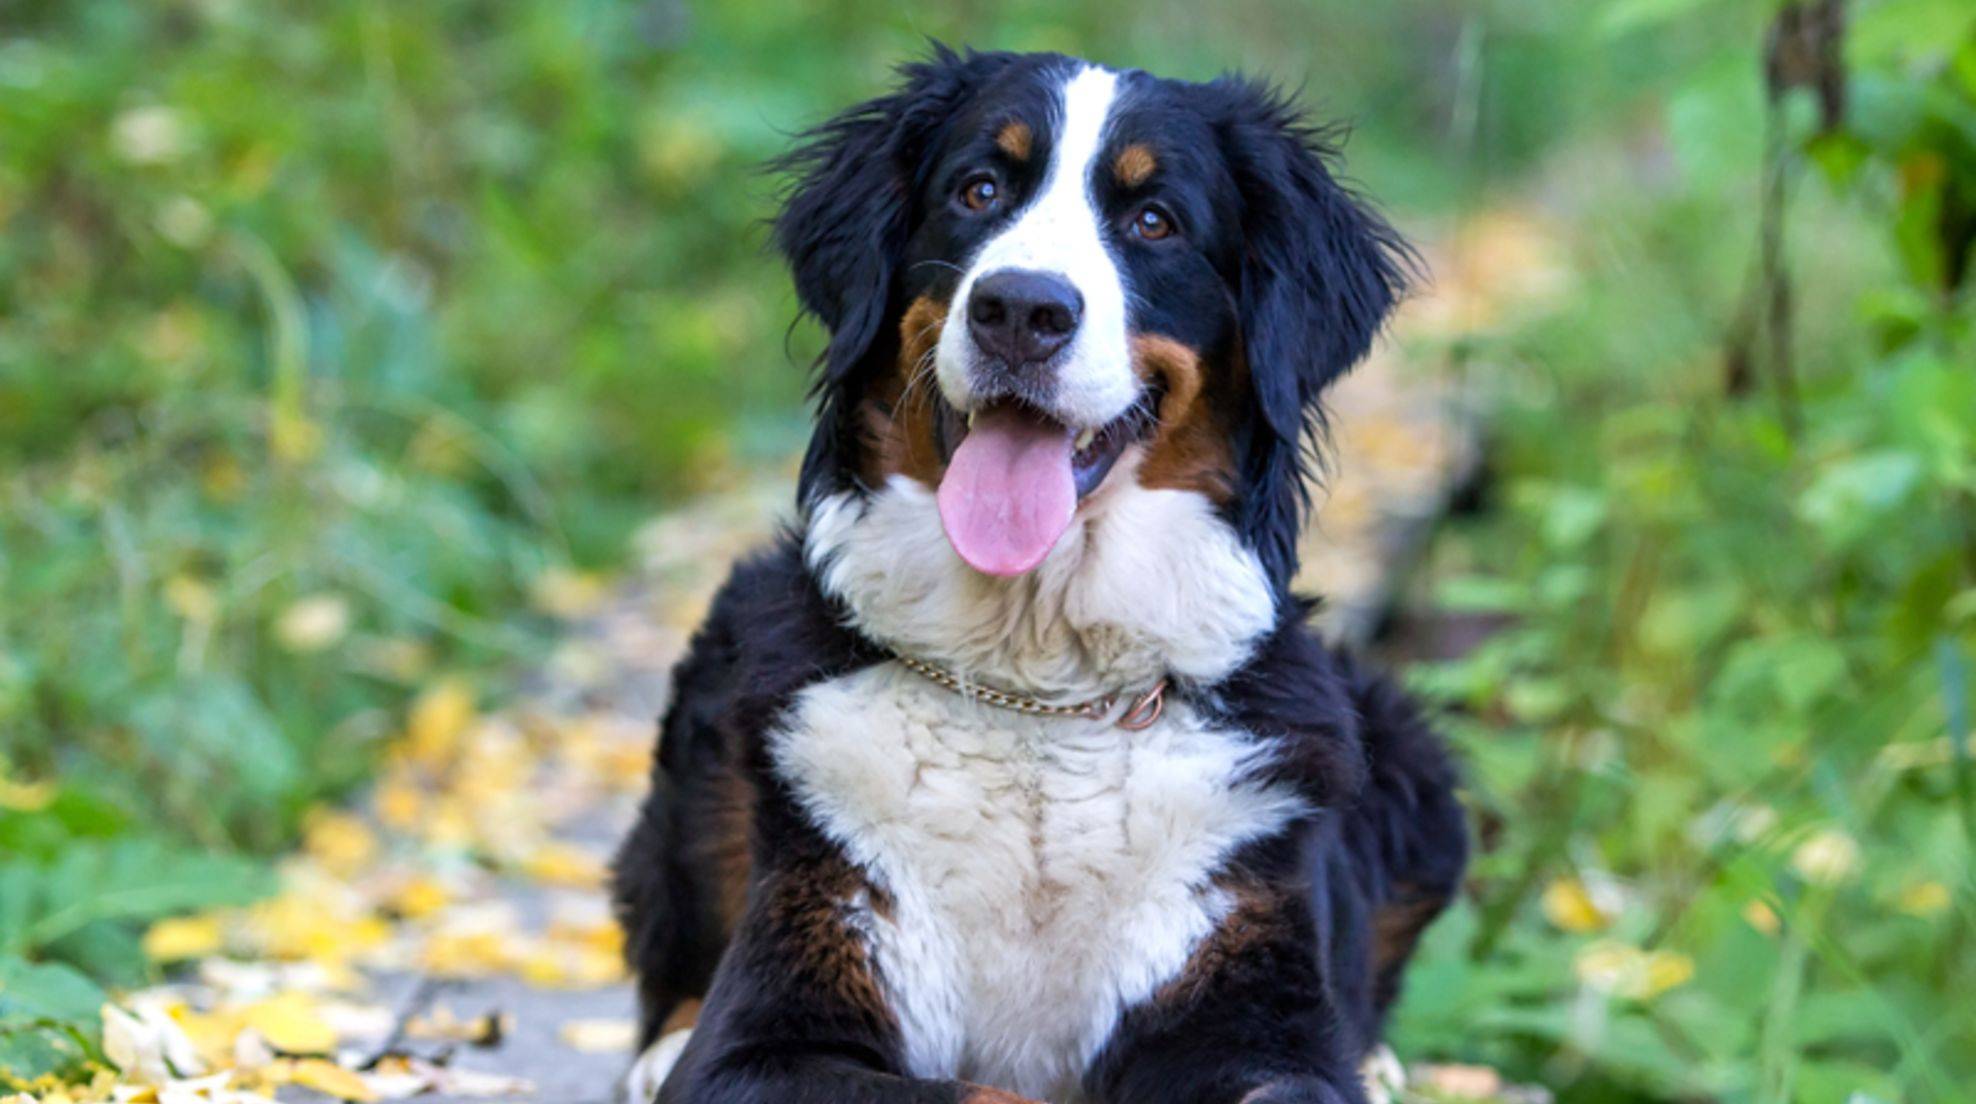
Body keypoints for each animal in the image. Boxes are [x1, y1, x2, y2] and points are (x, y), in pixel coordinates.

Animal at [612, 45, 1470, 1104]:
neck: (1037, 689)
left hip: (1412, 759)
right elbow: (988, 1091)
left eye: (1155, 220)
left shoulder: (1246, 983)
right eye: (979, 190)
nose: (1021, 308)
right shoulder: (770, 1035)